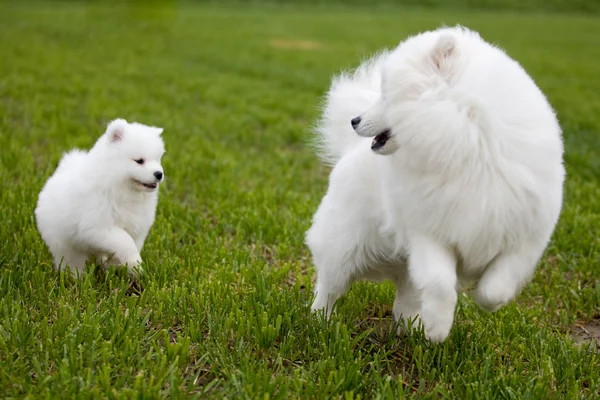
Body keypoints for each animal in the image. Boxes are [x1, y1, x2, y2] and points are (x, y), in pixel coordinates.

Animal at [35, 119, 166, 278]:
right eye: (139, 161)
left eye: (158, 159)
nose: (159, 174)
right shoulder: (98, 227)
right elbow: (125, 241)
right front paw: (136, 265)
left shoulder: (138, 227)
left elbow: (131, 243)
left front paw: (120, 265)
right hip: (64, 243)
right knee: (71, 260)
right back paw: (78, 277)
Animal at [308, 26, 564, 342]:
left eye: (386, 94)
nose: (354, 120)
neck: (468, 144)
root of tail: (349, 152)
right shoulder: (429, 234)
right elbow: (441, 284)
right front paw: (439, 329)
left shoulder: (524, 239)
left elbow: (496, 286)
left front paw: (481, 303)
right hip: (345, 248)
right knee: (329, 288)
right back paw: (321, 322)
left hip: (401, 263)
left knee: (405, 296)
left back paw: (412, 327)